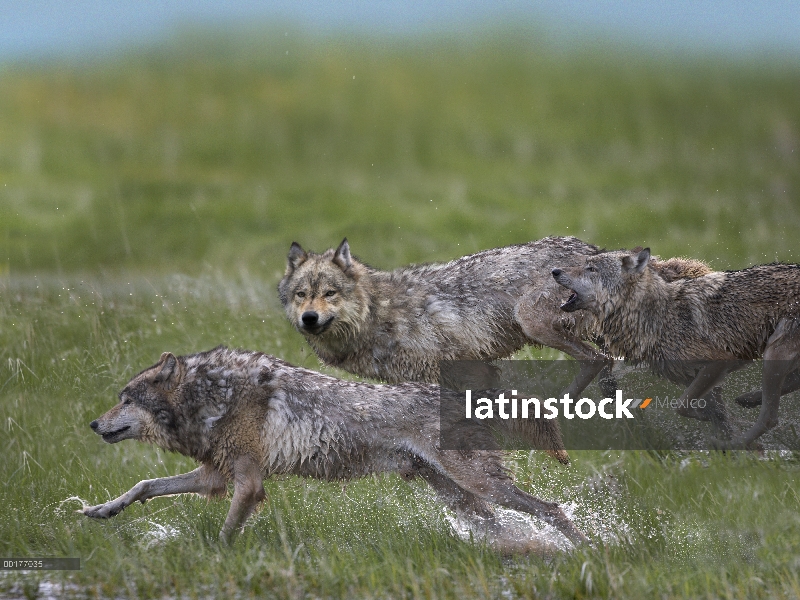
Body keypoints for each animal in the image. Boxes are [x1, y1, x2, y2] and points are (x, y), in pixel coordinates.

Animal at [79, 346, 588, 548]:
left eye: (126, 399)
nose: (92, 423)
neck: (212, 395)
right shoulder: (214, 476)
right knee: (506, 528)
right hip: (461, 498)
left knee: (551, 509)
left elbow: (224, 535)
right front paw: (99, 511)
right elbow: (145, 485)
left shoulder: (249, 484)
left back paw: (589, 549)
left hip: (480, 486)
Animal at [552, 246, 800, 448]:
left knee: (770, 417)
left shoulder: (719, 362)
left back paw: (734, 442)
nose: (554, 271)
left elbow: (682, 405)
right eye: (584, 264)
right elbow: (714, 414)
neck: (657, 315)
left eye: (591, 269)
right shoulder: (696, 377)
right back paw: (748, 401)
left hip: (773, 354)